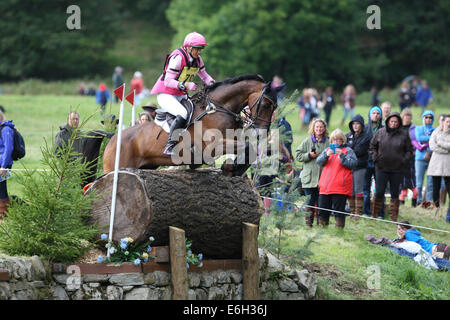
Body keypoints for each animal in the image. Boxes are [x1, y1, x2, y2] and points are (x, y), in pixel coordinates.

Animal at [103, 74, 284, 176]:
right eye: (266, 104)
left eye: (275, 107)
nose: (261, 132)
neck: (219, 108)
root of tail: (113, 139)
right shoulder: (214, 145)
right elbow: (247, 146)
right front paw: (230, 168)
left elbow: (251, 149)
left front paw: (233, 169)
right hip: (116, 166)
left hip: (148, 165)